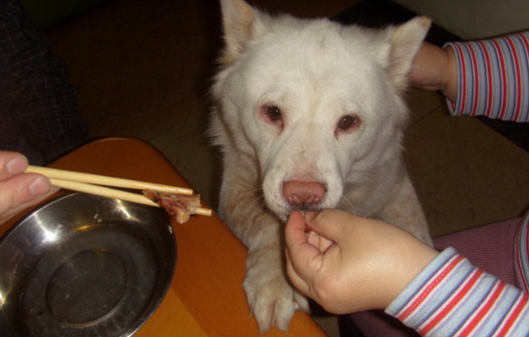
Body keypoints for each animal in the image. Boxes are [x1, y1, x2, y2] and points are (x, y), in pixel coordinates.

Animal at [209, 0, 434, 330]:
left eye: (348, 122)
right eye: (273, 112)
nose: (303, 195)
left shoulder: (394, 188)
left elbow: (416, 232)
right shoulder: (235, 187)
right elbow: (265, 223)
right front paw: (274, 282)